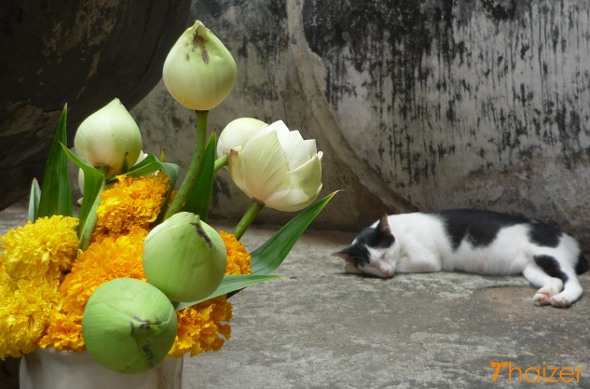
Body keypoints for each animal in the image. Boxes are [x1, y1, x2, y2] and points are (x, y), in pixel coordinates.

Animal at [336, 208, 588, 308]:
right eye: (371, 264)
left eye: (385, 254)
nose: (385, 273)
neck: (399, 230)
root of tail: (570, 238)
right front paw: (352, 265)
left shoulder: (426, 260)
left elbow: (402, 264)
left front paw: (351, 266)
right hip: (531, 268)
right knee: (555, 280)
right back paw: (546, 295)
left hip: (549, 254)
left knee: (573, 283)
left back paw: (562, 299)